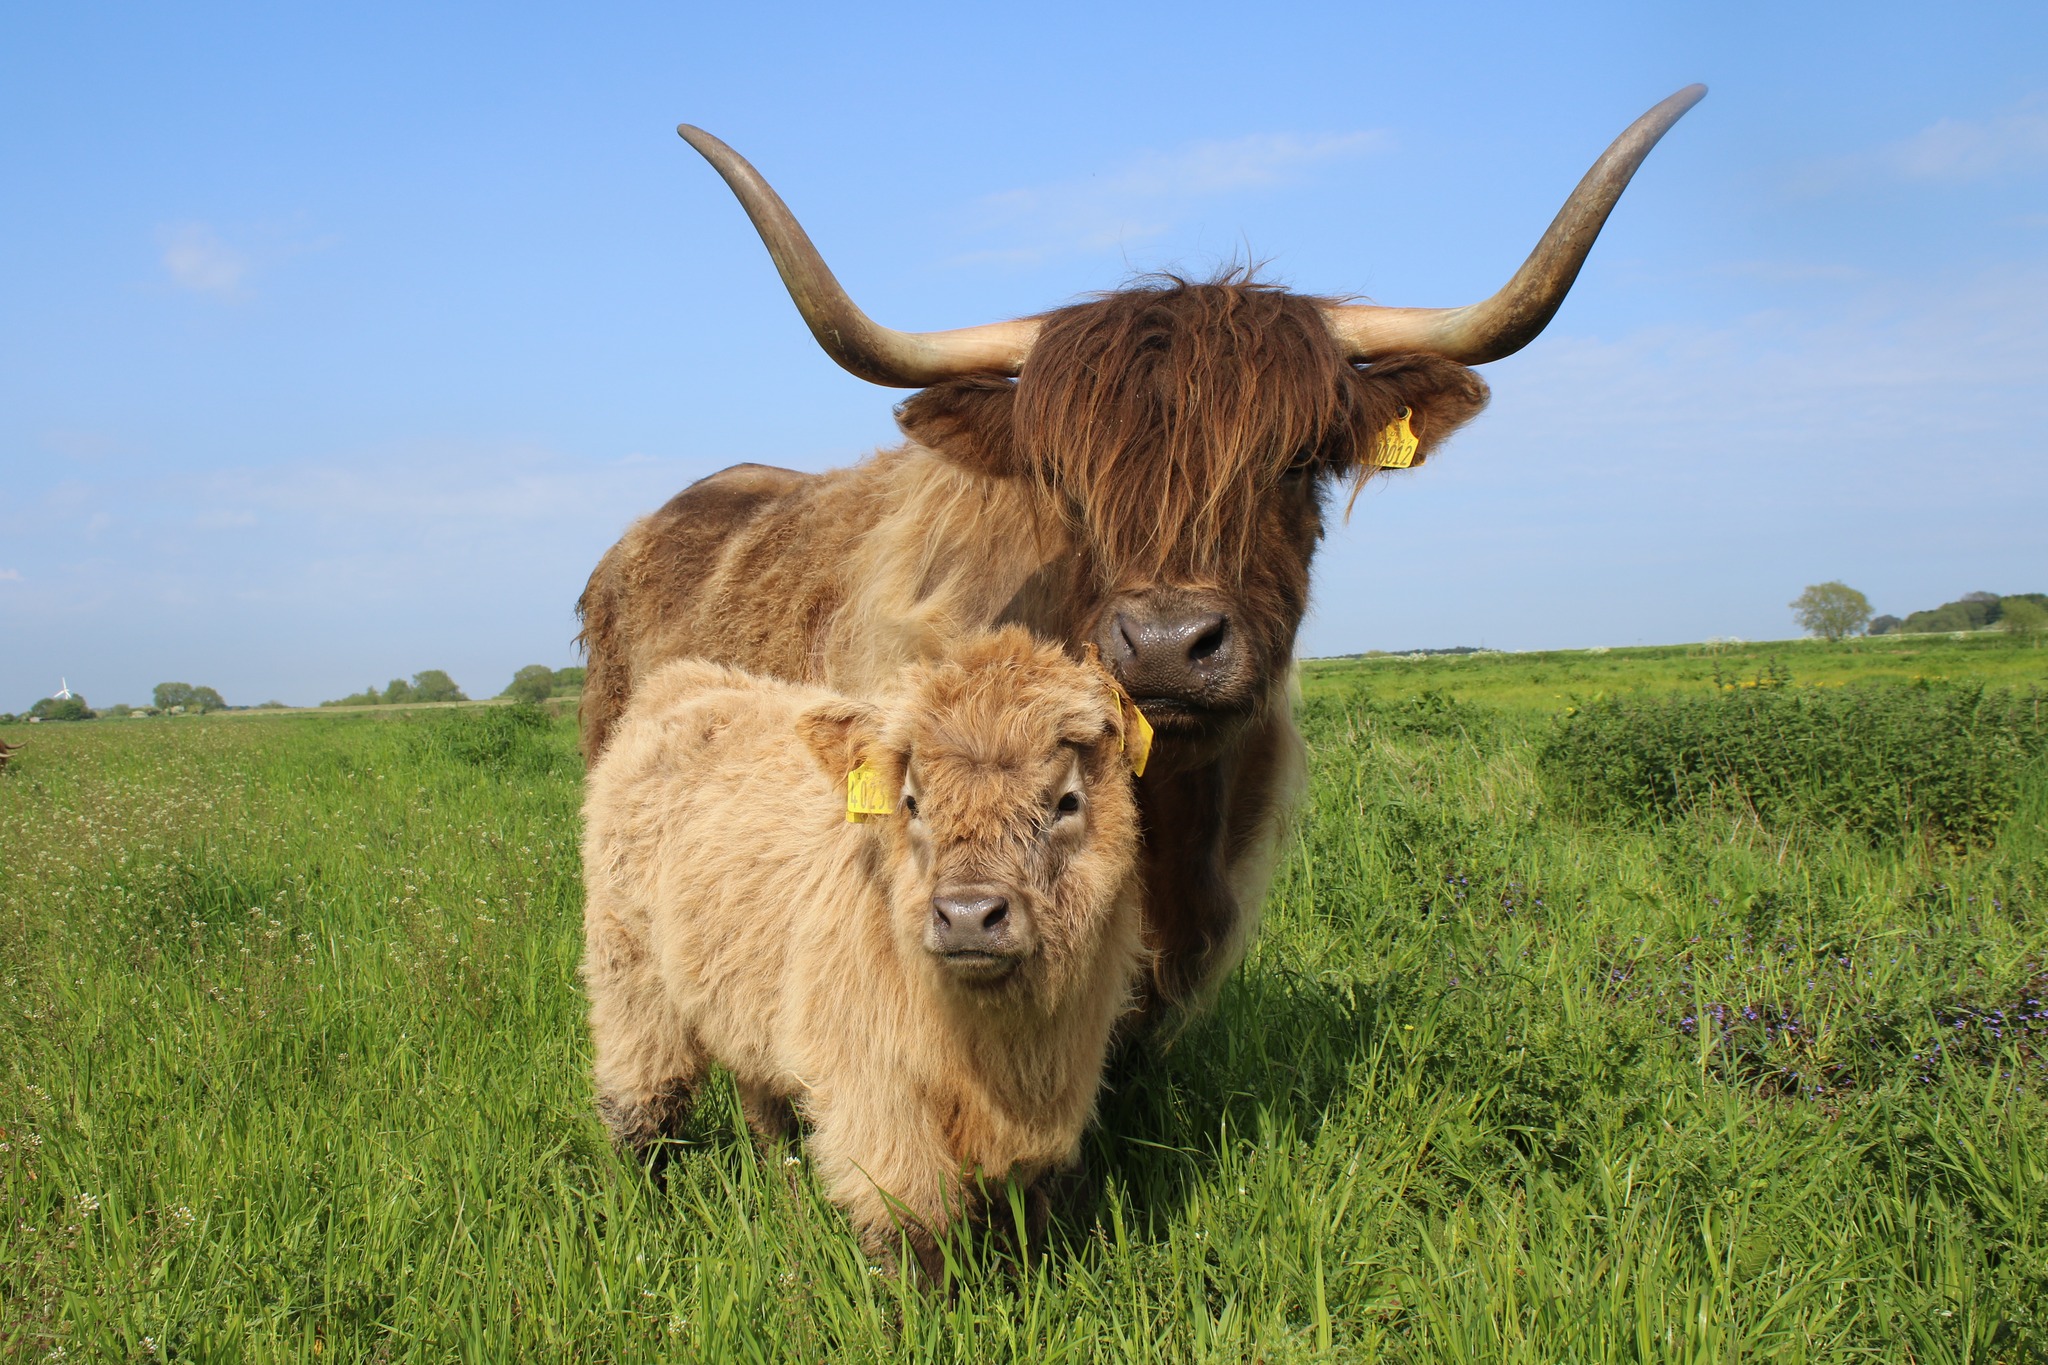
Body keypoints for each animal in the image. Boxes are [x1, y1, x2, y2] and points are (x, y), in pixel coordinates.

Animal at [581, 630, 1155, 1285]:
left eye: (1067, 801)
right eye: (911, 802)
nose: (967, 914)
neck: (994, 1050)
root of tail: (686, 679)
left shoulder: (1062, 1078)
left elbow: (1023, 1214)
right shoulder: (875, 1090)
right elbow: (916, 1229)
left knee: (764, 1106)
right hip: (629, 974)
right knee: (642, 1104)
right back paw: (638, 1210)